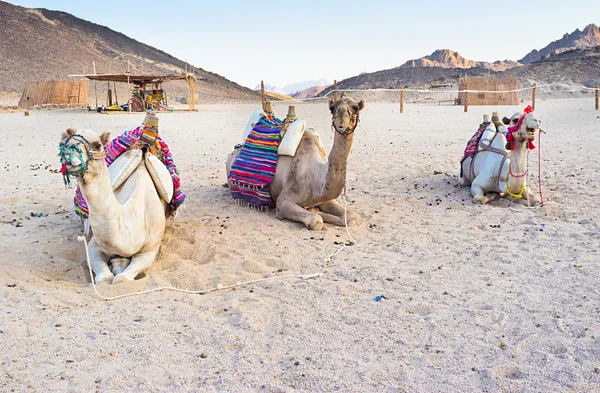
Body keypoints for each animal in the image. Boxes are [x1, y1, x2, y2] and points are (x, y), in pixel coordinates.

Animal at [58, 127, 168, 284]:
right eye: (63, 143)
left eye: (97, 145)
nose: (68, 153)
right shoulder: (94, 245)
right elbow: (104, 277)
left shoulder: (150, 249)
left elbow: (121, 278)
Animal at [225, 97, 366, 230]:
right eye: (332, 108)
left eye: (355, 107)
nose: (341, 123)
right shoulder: (283, 201)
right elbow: (316, 220)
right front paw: (315, 212)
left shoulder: (326, 199)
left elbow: (351, 217)